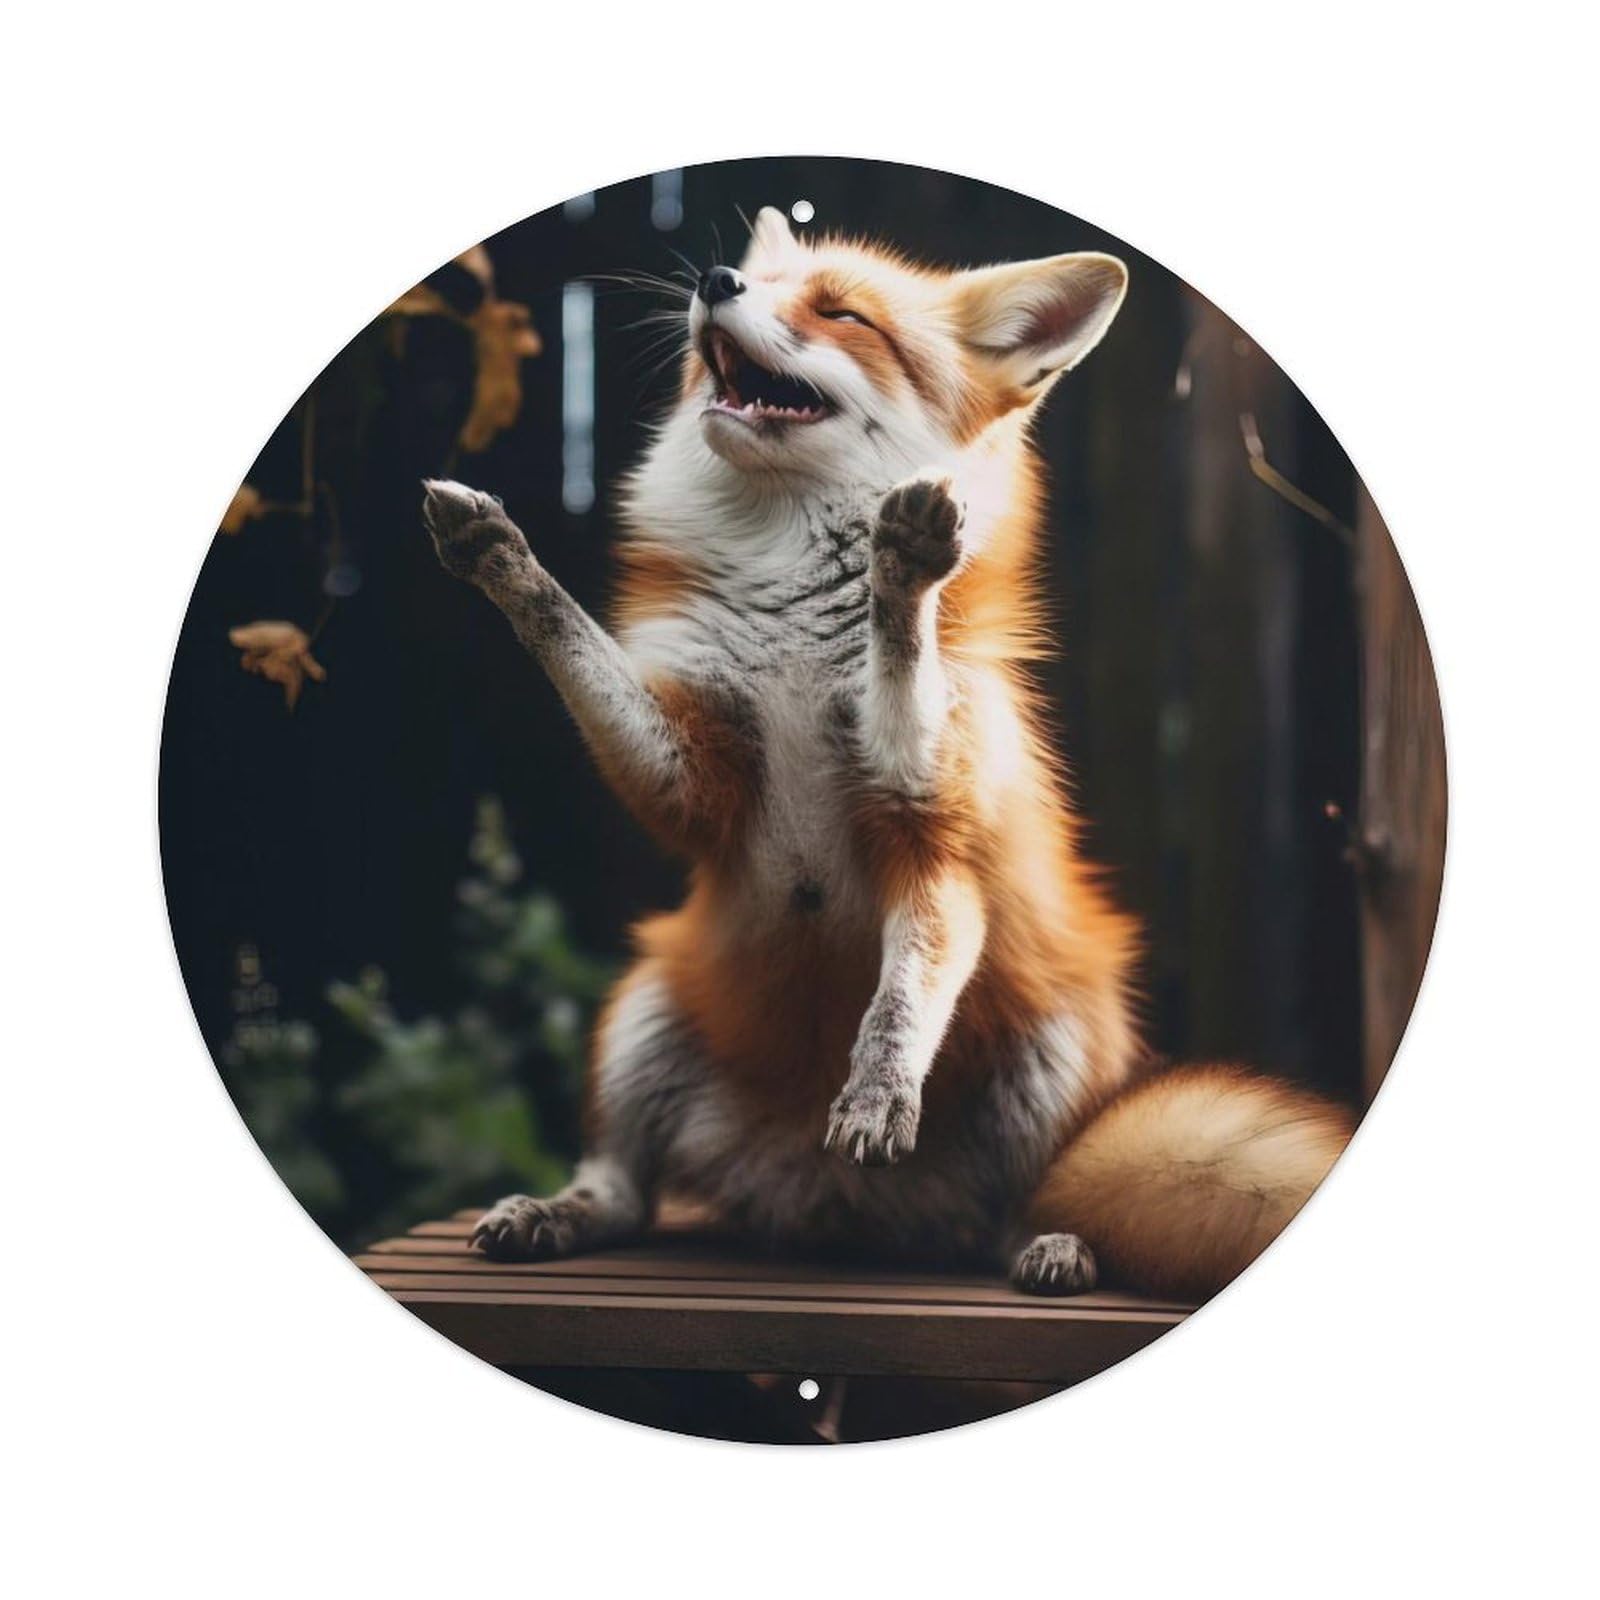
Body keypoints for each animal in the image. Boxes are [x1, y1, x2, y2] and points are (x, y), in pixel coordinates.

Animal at [421, 205, 1354, 1302]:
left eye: (842, 314)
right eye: (764, 285)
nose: (715, 279)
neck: (792, 629)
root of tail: (829, 1207)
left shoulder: (934, 841)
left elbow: (901, 995)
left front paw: (901, 575)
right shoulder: (692, 777)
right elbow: (573, 643)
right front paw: (503, 563)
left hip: (1057, 1052)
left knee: (1027, 1203)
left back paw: (1050, 1245)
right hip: (640, 1014)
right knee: (624, 1191)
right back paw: (555, 1214)